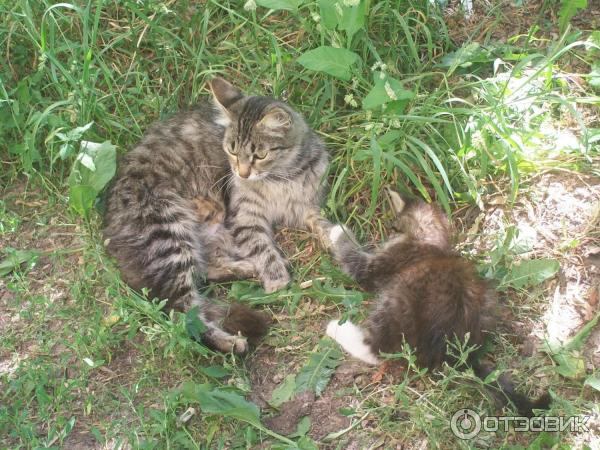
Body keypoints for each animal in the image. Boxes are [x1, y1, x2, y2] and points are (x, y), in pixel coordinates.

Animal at [106, 78, 336, 356]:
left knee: (205, 270)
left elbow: (324, 225)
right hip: (171, 233)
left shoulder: (306, 205)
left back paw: (246, 268)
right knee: (183, 312)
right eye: (232, 151)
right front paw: (276, 279)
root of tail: (110, 226)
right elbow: (262, 248)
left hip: (206, 232)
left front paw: (338, 241)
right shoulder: (244, 216)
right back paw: (232, 342)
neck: (281, 178)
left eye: (260, 155)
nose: (242, 173)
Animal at [326, 190, 552, 414]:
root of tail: (455, 351)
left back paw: (337, 328)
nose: (389, 234)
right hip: (487, 303)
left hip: (395, 301)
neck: (429, 241)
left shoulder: (375, 267)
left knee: (377, 349)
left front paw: (337, 230)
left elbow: (351, 257)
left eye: (394, 227)